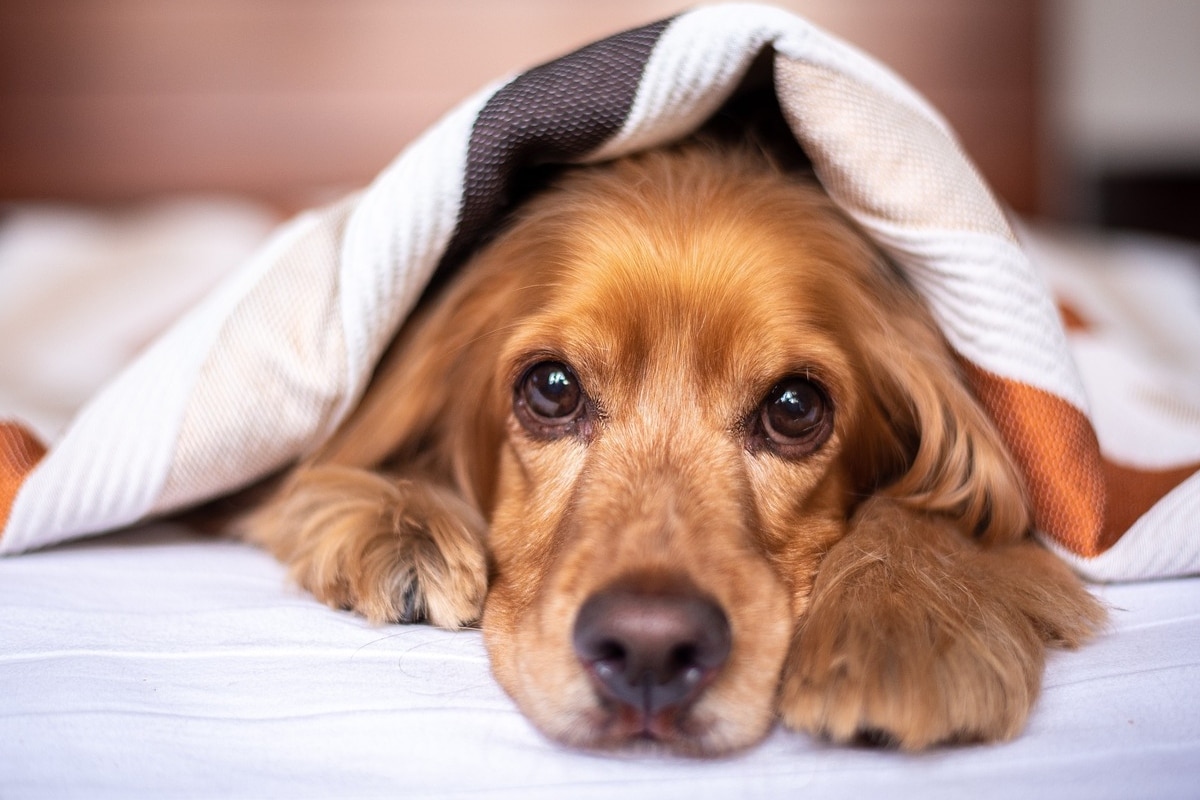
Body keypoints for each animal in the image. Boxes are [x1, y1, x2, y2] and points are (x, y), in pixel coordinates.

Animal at [243, 142, 1104, 758]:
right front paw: (400, 524)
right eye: (551, 388)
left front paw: (900, 624)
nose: (649, 649)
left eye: (795, 408)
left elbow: (947, 509)